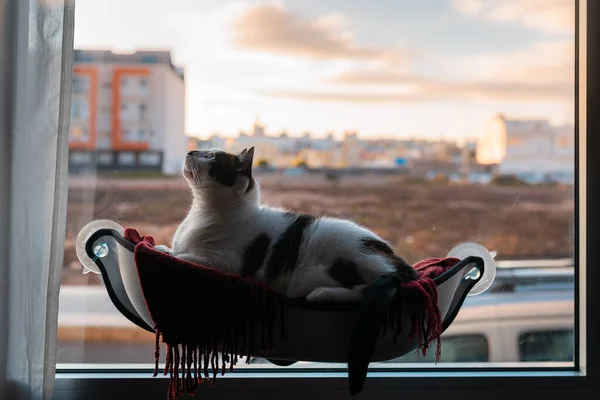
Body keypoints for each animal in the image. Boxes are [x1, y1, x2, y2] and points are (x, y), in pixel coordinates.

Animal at [156, 148, 418, 304]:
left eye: (211, 157)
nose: (190, 150)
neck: (202, 212)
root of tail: (400, 260)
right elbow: (173, 250)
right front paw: (160, 248)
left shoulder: (225, 264)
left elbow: (183, 257)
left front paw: (169, 253)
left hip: (345, 250)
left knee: (373, 286)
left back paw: (323, 294)